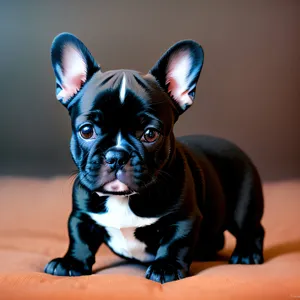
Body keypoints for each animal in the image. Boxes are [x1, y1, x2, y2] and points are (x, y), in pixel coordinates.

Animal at [43, 33, 264, 284]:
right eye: (87, 131)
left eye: (150, 134)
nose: (116, 155)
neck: (123, 198)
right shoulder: (81, 215)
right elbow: (79, 238)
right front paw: (71, 262)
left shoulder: (183, 219)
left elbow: (175, 243)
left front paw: (166, 267)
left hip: (245, 205)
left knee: (252, 229)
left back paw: (247, 254)